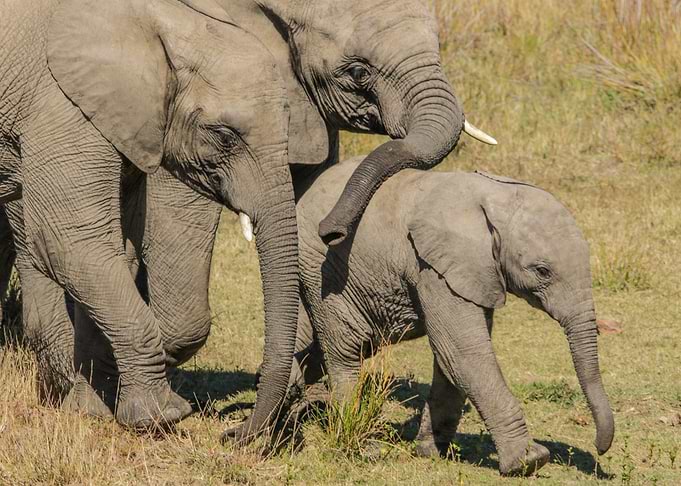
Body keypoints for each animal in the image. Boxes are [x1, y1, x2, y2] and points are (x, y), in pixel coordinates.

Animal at [0, 0, 300, 435]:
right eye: (223, 135)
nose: (233, 431)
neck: (161, 21)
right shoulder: (60, 106)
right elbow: (73, 244)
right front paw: (162, 417)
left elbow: (116, 252)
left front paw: (92, 410)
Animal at [286, 157, 615, 476]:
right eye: (542, 271)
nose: (600, 448)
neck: (496, 197)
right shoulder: (433, 265)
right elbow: (462, 352)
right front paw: (529, 462)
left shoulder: (475, 273)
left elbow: (450, 358)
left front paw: (430, 451)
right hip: (322, 271)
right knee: (346, 351)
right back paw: (357, 443)